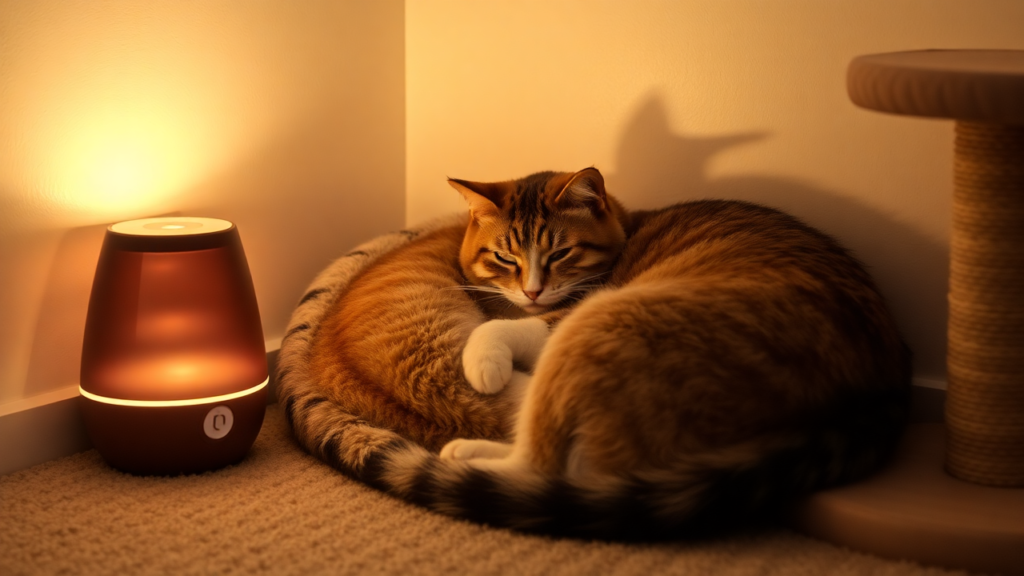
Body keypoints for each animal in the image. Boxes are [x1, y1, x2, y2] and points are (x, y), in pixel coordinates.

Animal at [274, 167, 913, 537]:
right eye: (505, 257)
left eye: (559, 253)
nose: (533, 289)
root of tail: (875, 393)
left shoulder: (569, 309)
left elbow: (499, 331)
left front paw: (485, 364)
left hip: (601, 325)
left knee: (548, 466)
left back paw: (465, 454)